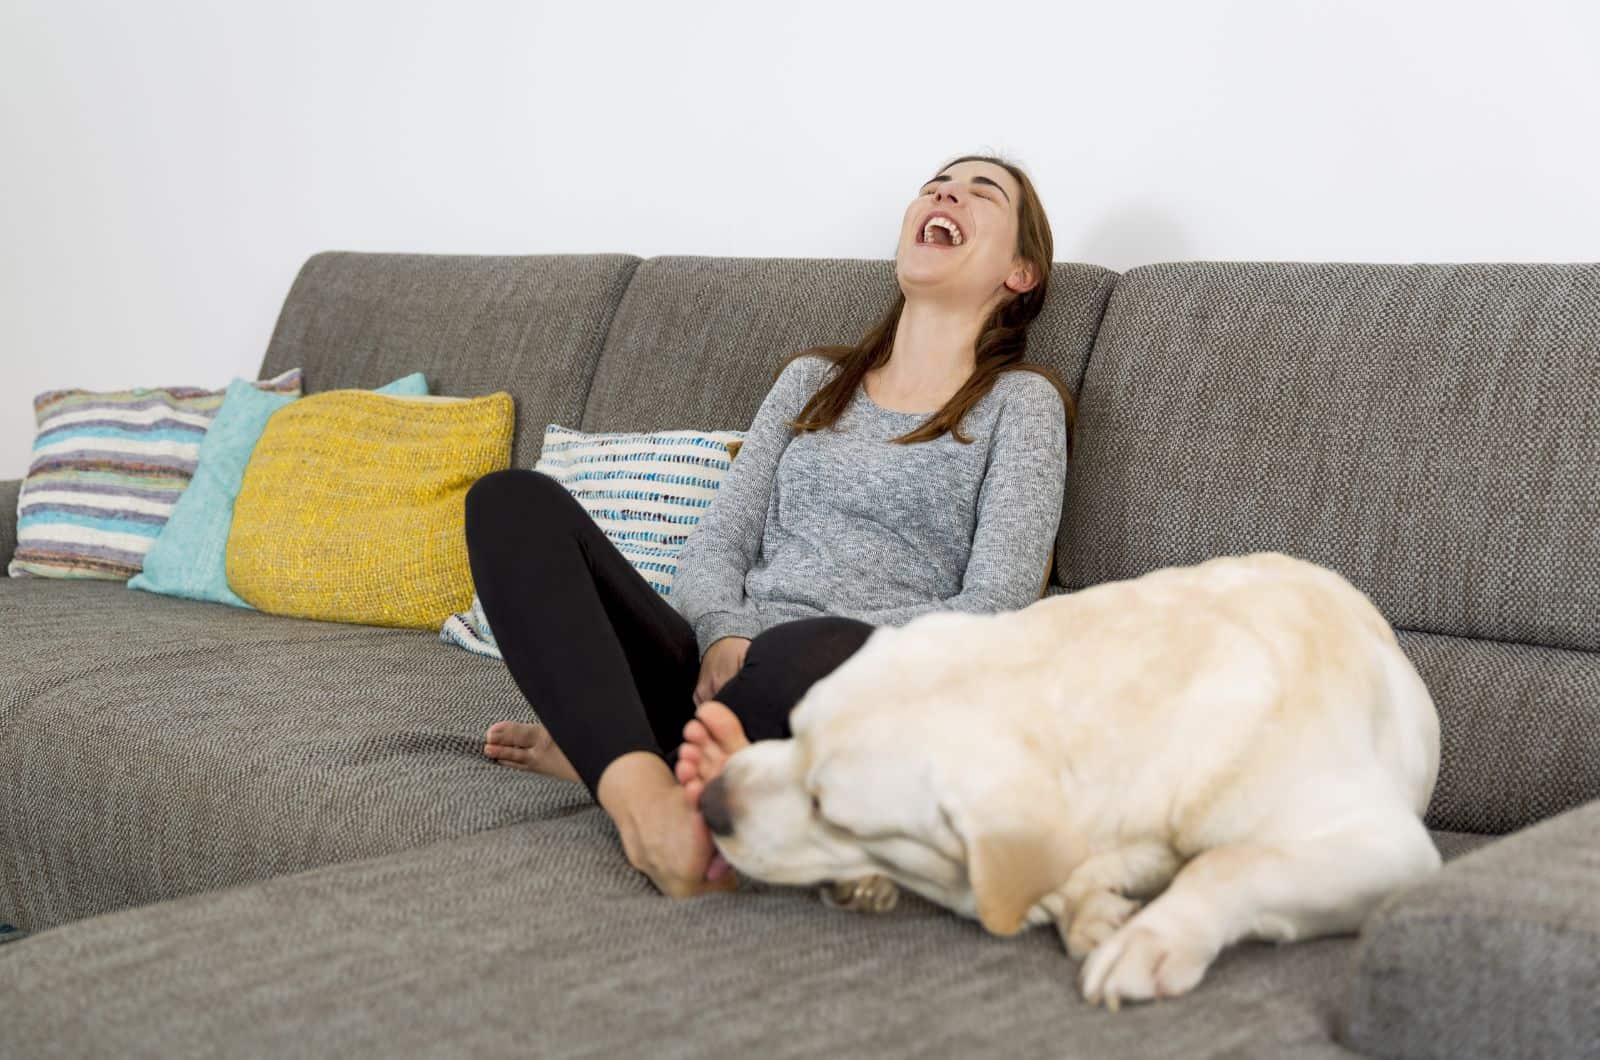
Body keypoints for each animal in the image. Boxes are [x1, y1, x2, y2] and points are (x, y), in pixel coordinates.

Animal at [697, 557, 1440, 1011]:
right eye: (792, 729)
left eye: (830, 810)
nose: (708, 804)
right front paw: (1090, 909)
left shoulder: (1390, 844)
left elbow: (1231, 863)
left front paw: (1151, 937)